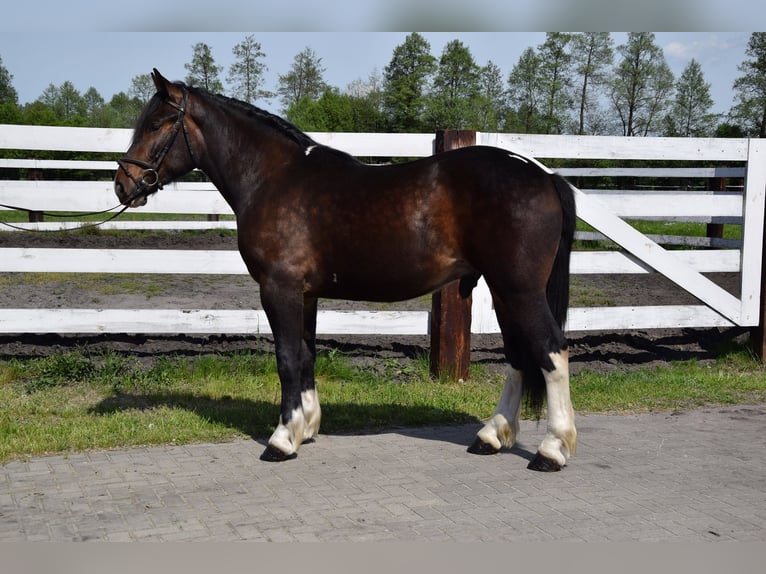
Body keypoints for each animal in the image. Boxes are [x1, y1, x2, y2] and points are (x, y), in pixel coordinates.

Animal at [114, 70, 580, 472]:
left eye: (156, 123)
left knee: (552, 350)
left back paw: (551, 450)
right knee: (520, 355)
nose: (123, 184)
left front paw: (281, 440)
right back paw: (490, 436)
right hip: (504, 290)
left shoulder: (279, 288)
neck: (274, 178)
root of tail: (544, 175)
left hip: (519, 289)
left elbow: (287, 359)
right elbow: (306, 356)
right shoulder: (305, 294)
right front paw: (305, 428)